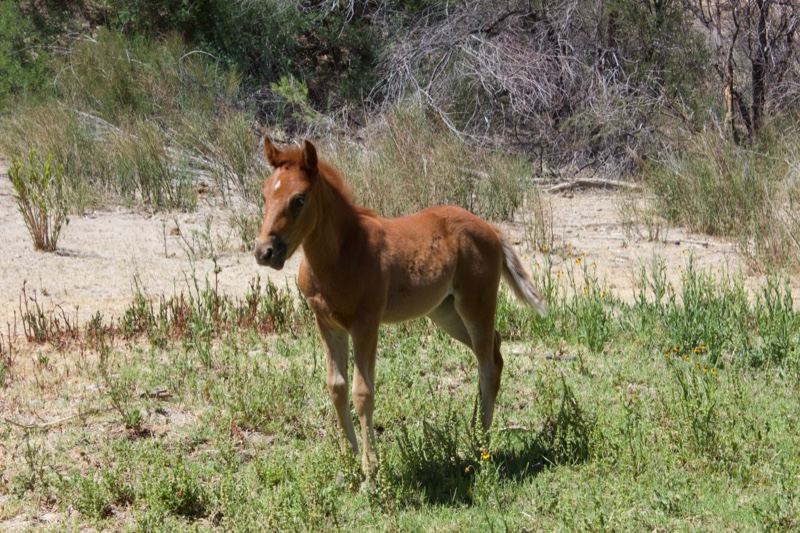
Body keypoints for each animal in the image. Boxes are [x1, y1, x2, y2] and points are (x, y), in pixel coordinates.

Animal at [254, 137, 547, 474]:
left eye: (299, 200)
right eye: (264, 194)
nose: (264, 251)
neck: (341, 254)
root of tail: (492, 230)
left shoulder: (365, 324)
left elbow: (363, 391)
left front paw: (370, 469)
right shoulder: (327, 323)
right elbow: (336, 386)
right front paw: (347, 463)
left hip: (477, 304)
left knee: (487, 364)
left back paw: (481, 446)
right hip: (446, 313)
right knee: (494, 353)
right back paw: (473, 433)